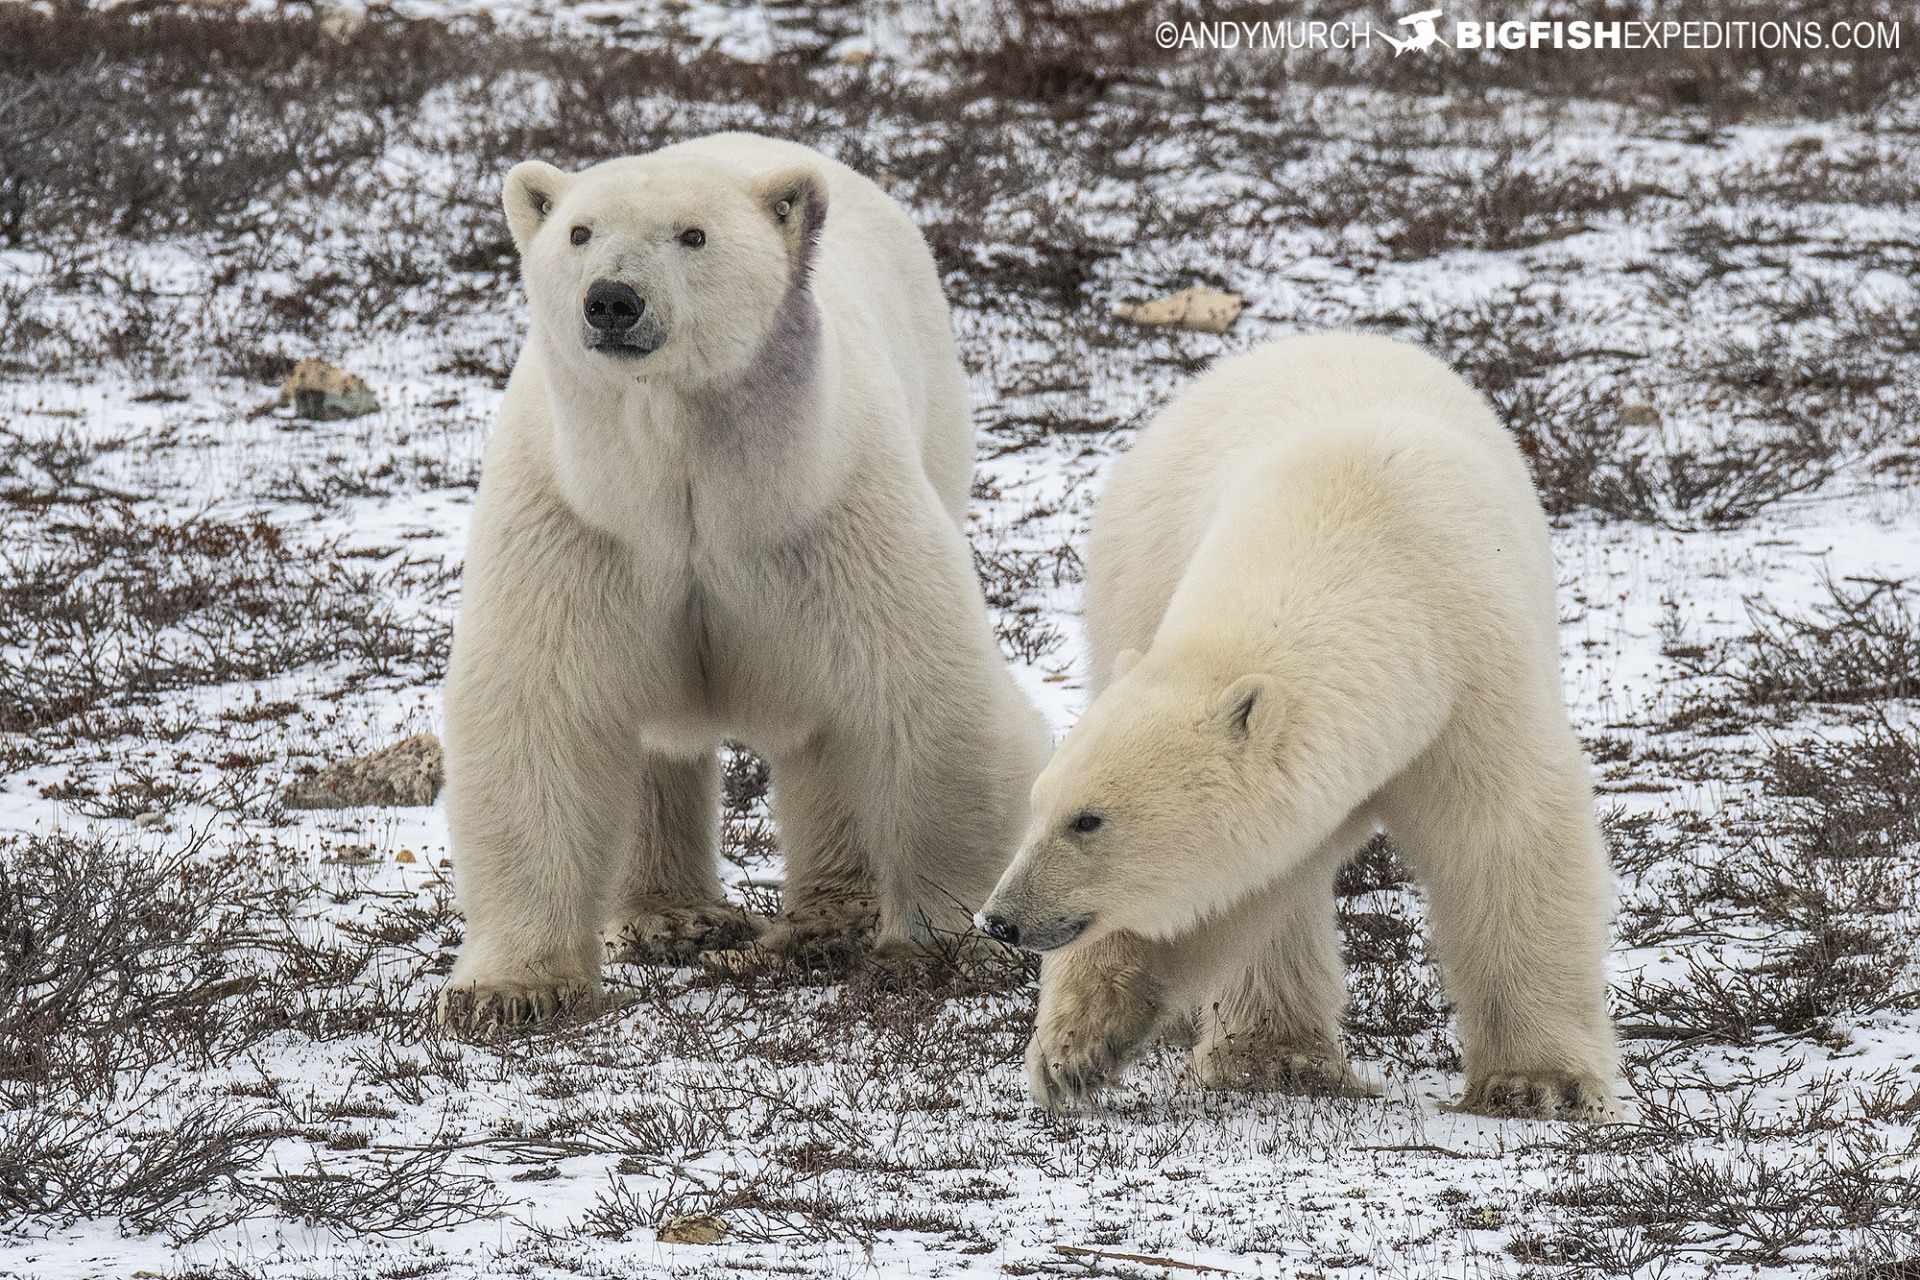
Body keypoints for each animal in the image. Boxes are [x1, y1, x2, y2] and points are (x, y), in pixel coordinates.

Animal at [438, 132, 1049, 1028]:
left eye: (693, 235)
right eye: (581, 231)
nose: (613, 301)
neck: (687, 477)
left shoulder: (827, 508)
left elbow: (926, 697)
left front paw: (942, 949)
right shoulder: (580, 524)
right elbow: (541, 711)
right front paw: (511, 992)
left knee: (827, 731)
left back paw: (832, 919)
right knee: (653, 741)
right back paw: (672, 918)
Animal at [977, 332, 1619, 1121]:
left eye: (1088, 820)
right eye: (1039, 804)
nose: (1001, 919)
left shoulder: (1476, 673)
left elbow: (1505, 838)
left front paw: (1537, 1083)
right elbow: (1228, 893)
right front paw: (1076, 1050)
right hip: (1134, 584)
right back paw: (1269, 1057)